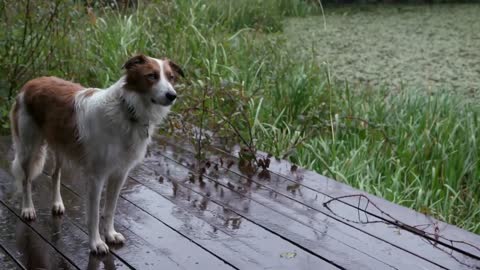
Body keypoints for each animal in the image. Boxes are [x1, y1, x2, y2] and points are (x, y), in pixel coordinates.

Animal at [10, 54, 186, 253]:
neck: (127, 111)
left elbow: (109, 210)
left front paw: (110, 234)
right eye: (152, 76)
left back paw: (57, 203)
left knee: (54, 175)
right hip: (28, 148)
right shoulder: (96, 176)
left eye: (171, 77)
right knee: (26, 180)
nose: (172, 95)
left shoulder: (119, 174)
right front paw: (96, 243)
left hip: (60, 146)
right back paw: (27, 208)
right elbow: (94, 214)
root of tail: (32, 82)